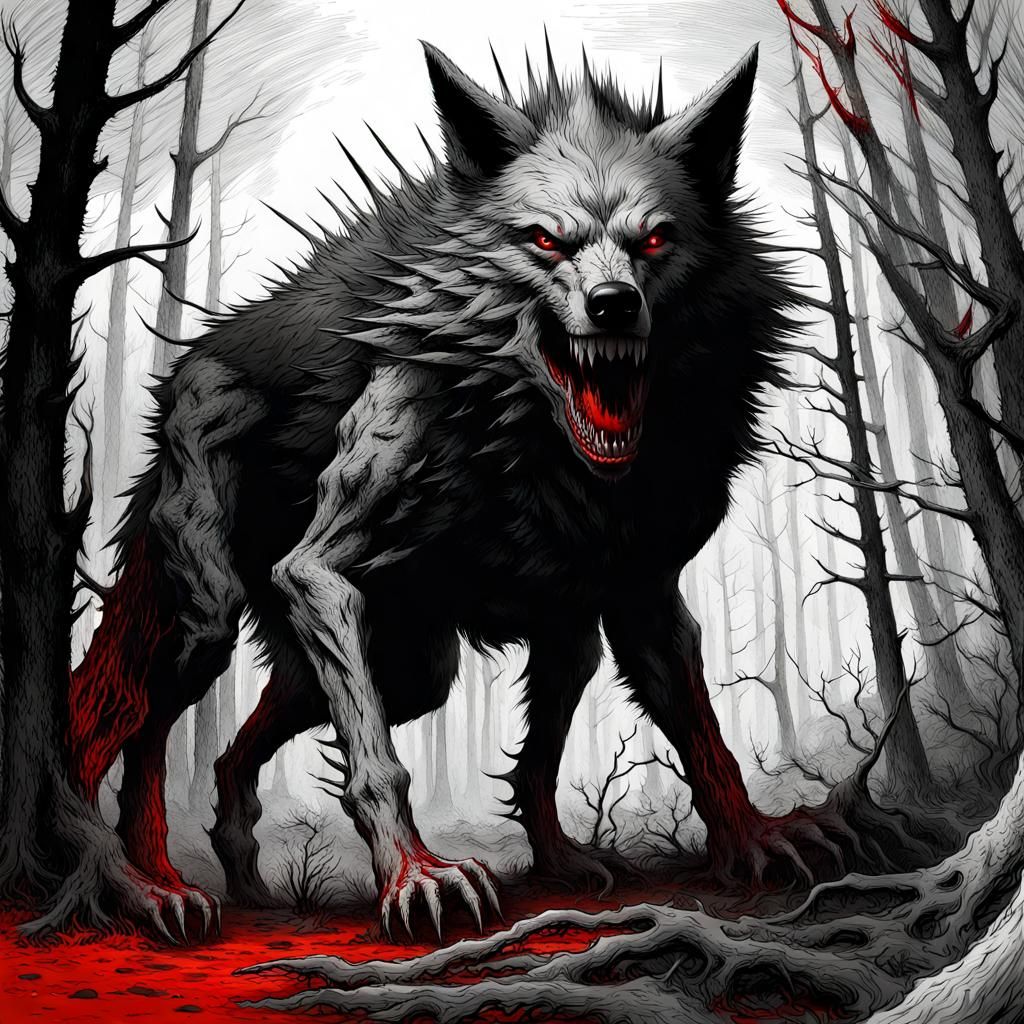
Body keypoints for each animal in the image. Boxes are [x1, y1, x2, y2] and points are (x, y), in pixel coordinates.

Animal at [69, 37, 832, 942]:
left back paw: (247, 876)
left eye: (654, 241)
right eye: (545, 241)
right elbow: (379, 768)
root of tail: (181, 374)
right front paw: (417, 875)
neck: (532, 438)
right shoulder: (319, 570)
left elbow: (672, 731)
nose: (614, 306)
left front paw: (745, 838)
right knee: (134, 727)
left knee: (235, 746)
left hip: (411, 661)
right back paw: (146, 882)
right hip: (210, 616)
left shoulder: (628, 593)